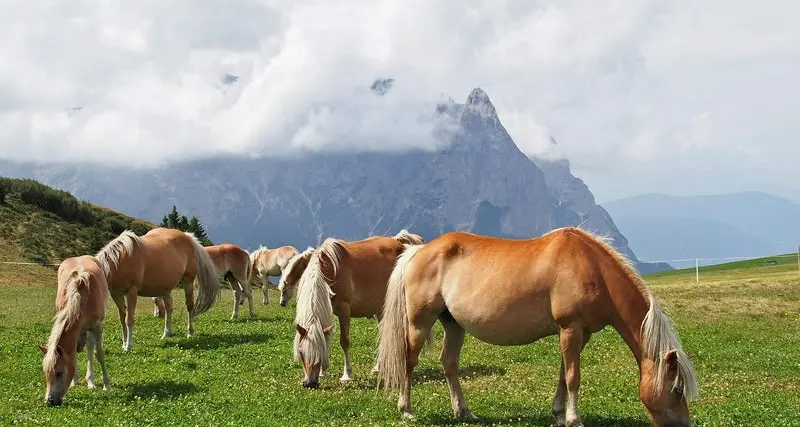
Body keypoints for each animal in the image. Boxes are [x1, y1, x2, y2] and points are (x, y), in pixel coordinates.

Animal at [39, 255, 111, 406]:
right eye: (45, 372)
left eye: (59, 372)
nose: (49, 401)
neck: (81, 296)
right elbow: (73, 355)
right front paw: (74, 380)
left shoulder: (97, 326)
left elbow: (99, 353)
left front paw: (107, 384)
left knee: (90, 347)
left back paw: (91, 381)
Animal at [290, 230, 424, 388]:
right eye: (301, 352)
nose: (309, 383)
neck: (330, 272)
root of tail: (401, 244)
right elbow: (326, 337)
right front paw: (323, 371)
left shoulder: (344, 310)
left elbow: (344, 341)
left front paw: (346, 374)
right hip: (381, 309)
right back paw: (378, 367)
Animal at [376, 227, 699, 427]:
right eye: (677, 389)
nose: (685, 425)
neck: (592, 268)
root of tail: (417, 252)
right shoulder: (571, 329)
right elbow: (573, 377)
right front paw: (574, 419)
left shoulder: (579, 334)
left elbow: (563, 375)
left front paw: (559, 414)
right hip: (419, 323)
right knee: (409, 361)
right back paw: (406, 409)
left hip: (454, 325)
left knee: (449, 364)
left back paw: (464, 411)